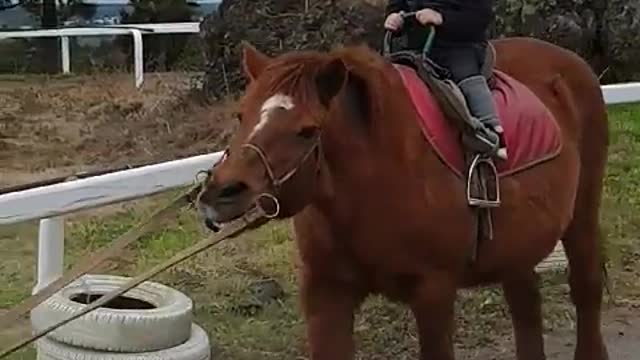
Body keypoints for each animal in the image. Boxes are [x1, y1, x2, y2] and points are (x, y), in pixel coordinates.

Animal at [196, 37, 608, 360]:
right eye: (241, 115)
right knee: (526, 305)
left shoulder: (433, 294)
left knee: (585, 289)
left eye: (306, 131)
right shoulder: (325, 295)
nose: (223, 191)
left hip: (582, 218)